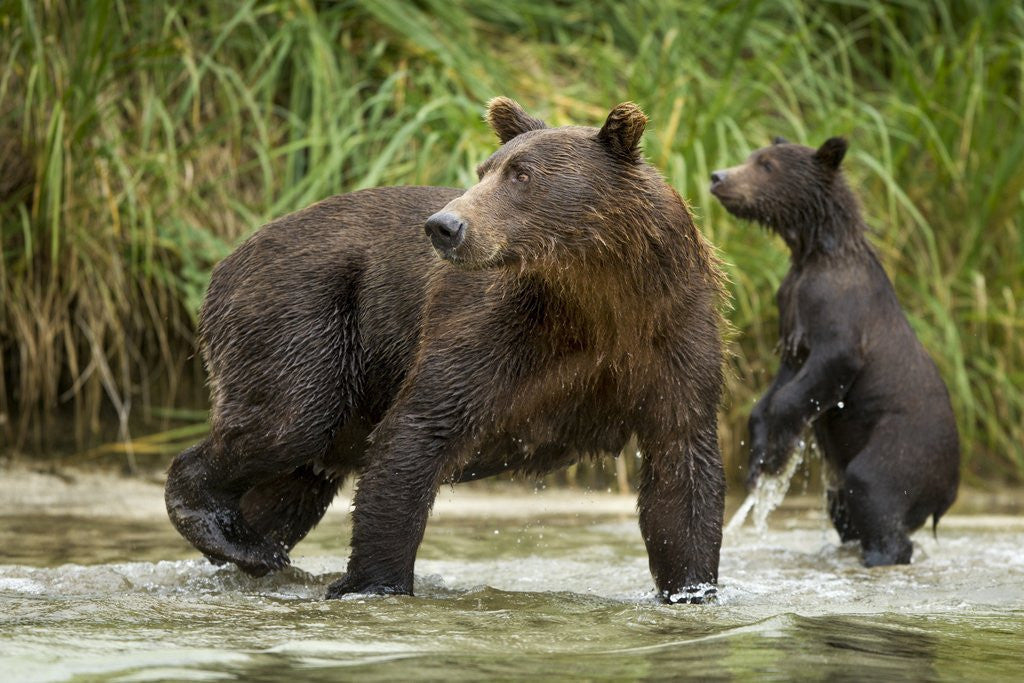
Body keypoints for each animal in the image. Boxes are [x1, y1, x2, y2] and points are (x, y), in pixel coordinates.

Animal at [165, 98, 727, 603]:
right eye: (484, 170)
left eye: (522, 175)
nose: (445, 225)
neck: (597, 296)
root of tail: (226, 259)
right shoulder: (496, 328)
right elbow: (418, 429)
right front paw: (375, 583)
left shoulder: (671, 335)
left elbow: (681, 468)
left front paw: (691, 589)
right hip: (303, 315)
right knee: (288, 423)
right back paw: (233, 536)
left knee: (294, 482)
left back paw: (250, 544)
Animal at [709, 136, 960, 566]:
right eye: (752, 158)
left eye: (766, 165)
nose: (718, 176)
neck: (812, 252)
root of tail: (950, 488)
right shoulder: (791, 312)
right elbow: (782, 379)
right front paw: (757, 457)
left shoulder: (838, 307)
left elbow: (826, 368)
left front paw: (777, 450)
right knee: (844, 507)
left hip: (905, 443)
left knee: (874, 487)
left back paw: (880, 553)